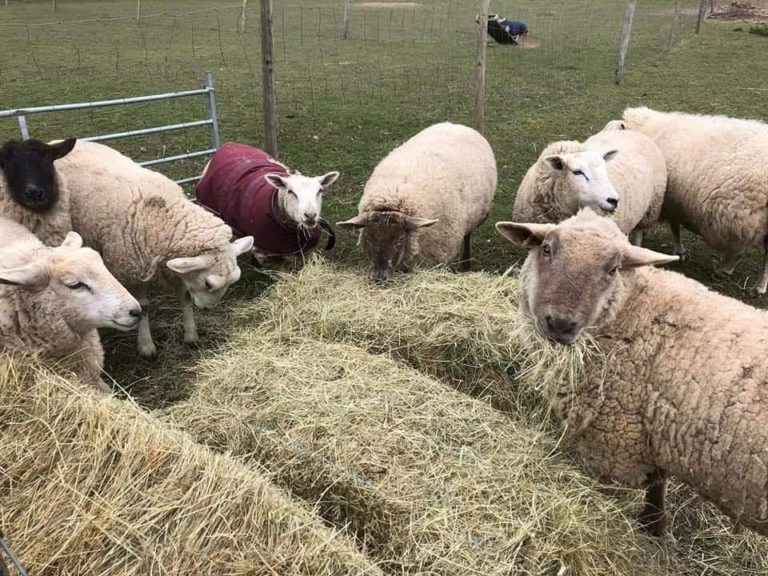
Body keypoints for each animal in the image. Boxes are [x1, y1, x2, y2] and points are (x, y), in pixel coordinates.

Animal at [54, 140, 253, 359]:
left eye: (234, 280)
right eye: (208, 283)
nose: (207, 308)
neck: (162, 218)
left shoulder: (175, 269)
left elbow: (185, 297)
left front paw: (191, 334)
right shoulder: (130, 271)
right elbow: (143, 307)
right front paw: (146, 345)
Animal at [337, 122, 497, 282]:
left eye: (400, 239)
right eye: (368, 238)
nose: (380, 278)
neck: (394, 197)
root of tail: (456, 125)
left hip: (475, 216)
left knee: (468, 236)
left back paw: (465, 264)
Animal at [496, 208, 768, 537]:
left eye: (613, 269)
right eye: (546, 249)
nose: (560, 324)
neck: (634, 310)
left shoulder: (614, 442)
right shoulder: (652, 431)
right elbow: (658, 482)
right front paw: (654, 523)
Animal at [512, 129, 666, 246]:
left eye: (605, 169)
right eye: (577, 172)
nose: (614, 200)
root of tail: (631, 131)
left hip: (650, 209)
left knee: (638, 233)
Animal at [621, 106, 768, 295]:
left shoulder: (667, 201)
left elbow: (674, 227)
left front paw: (678, 251)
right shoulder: (672, 202)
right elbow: (674, 226)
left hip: (743, 218)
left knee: (741, 251)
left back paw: (737, 276)